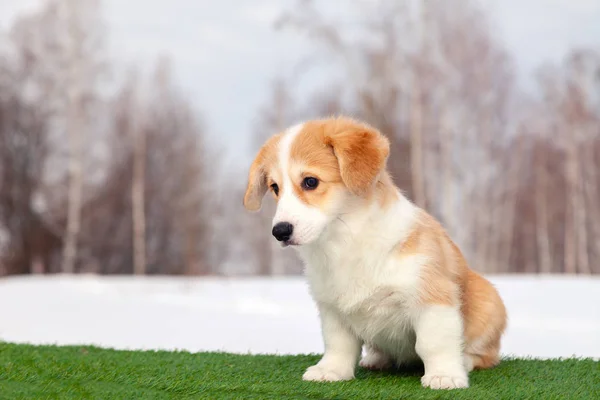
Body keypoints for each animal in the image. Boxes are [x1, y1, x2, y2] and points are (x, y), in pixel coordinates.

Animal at [243, 116, 506, 390]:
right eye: (274, 187)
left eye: (310, 181)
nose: (280, 231)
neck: (344, 240)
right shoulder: (332, 309)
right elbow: (338, 345)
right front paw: (331, 371)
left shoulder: (432, 299)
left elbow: (433, 343)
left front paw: (444, 375)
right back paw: (376, 359)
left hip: (489, 302)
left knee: (486, 354)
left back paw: (464, 360)